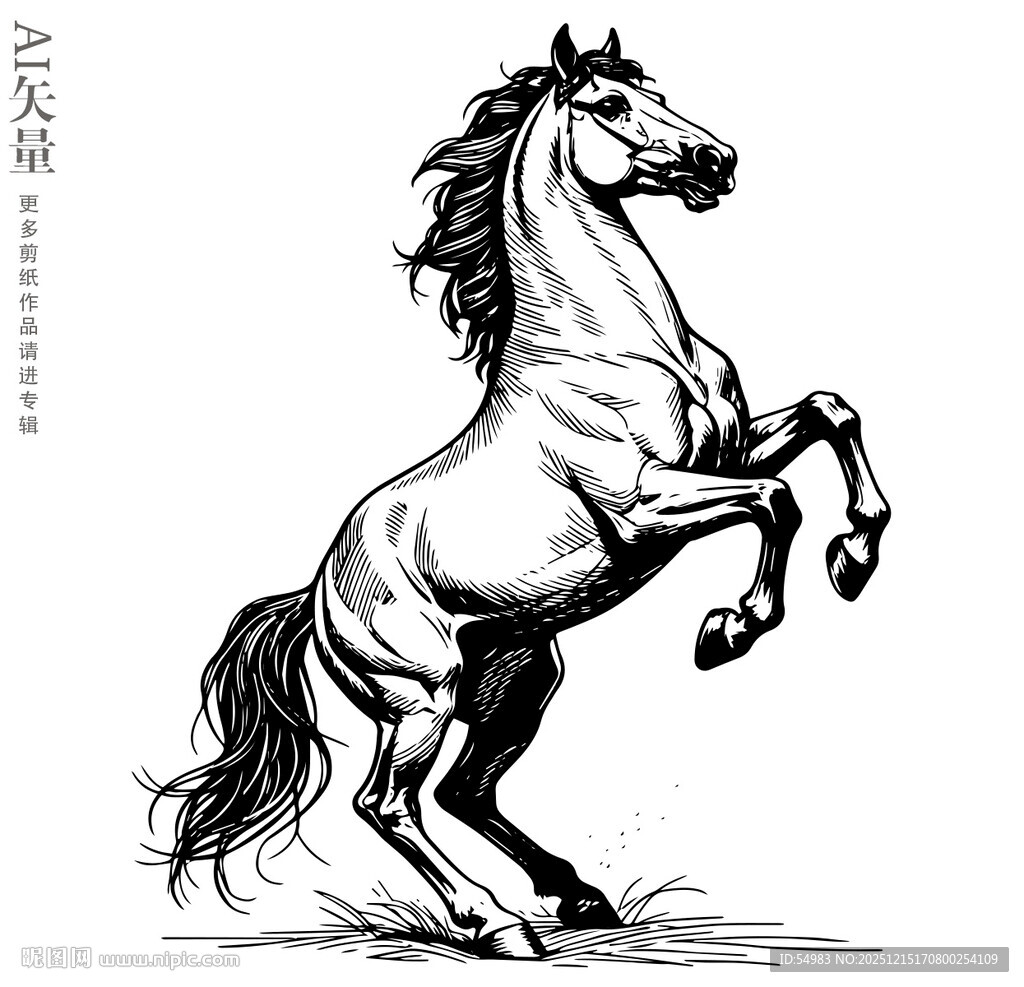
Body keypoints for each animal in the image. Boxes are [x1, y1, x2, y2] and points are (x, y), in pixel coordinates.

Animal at [148, 25, 890, 959]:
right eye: (609, 106)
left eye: (659, 94)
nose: (715, 162)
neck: (617, 344)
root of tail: (314, 594)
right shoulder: (648, 508)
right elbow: (774, 499)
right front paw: (729, 629)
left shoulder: (729, 446)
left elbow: (832, 412)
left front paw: (855, 555)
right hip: (420, 696)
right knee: (387, 801)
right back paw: (496, 924)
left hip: (518, 679)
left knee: (463, 790)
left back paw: (578, 897)